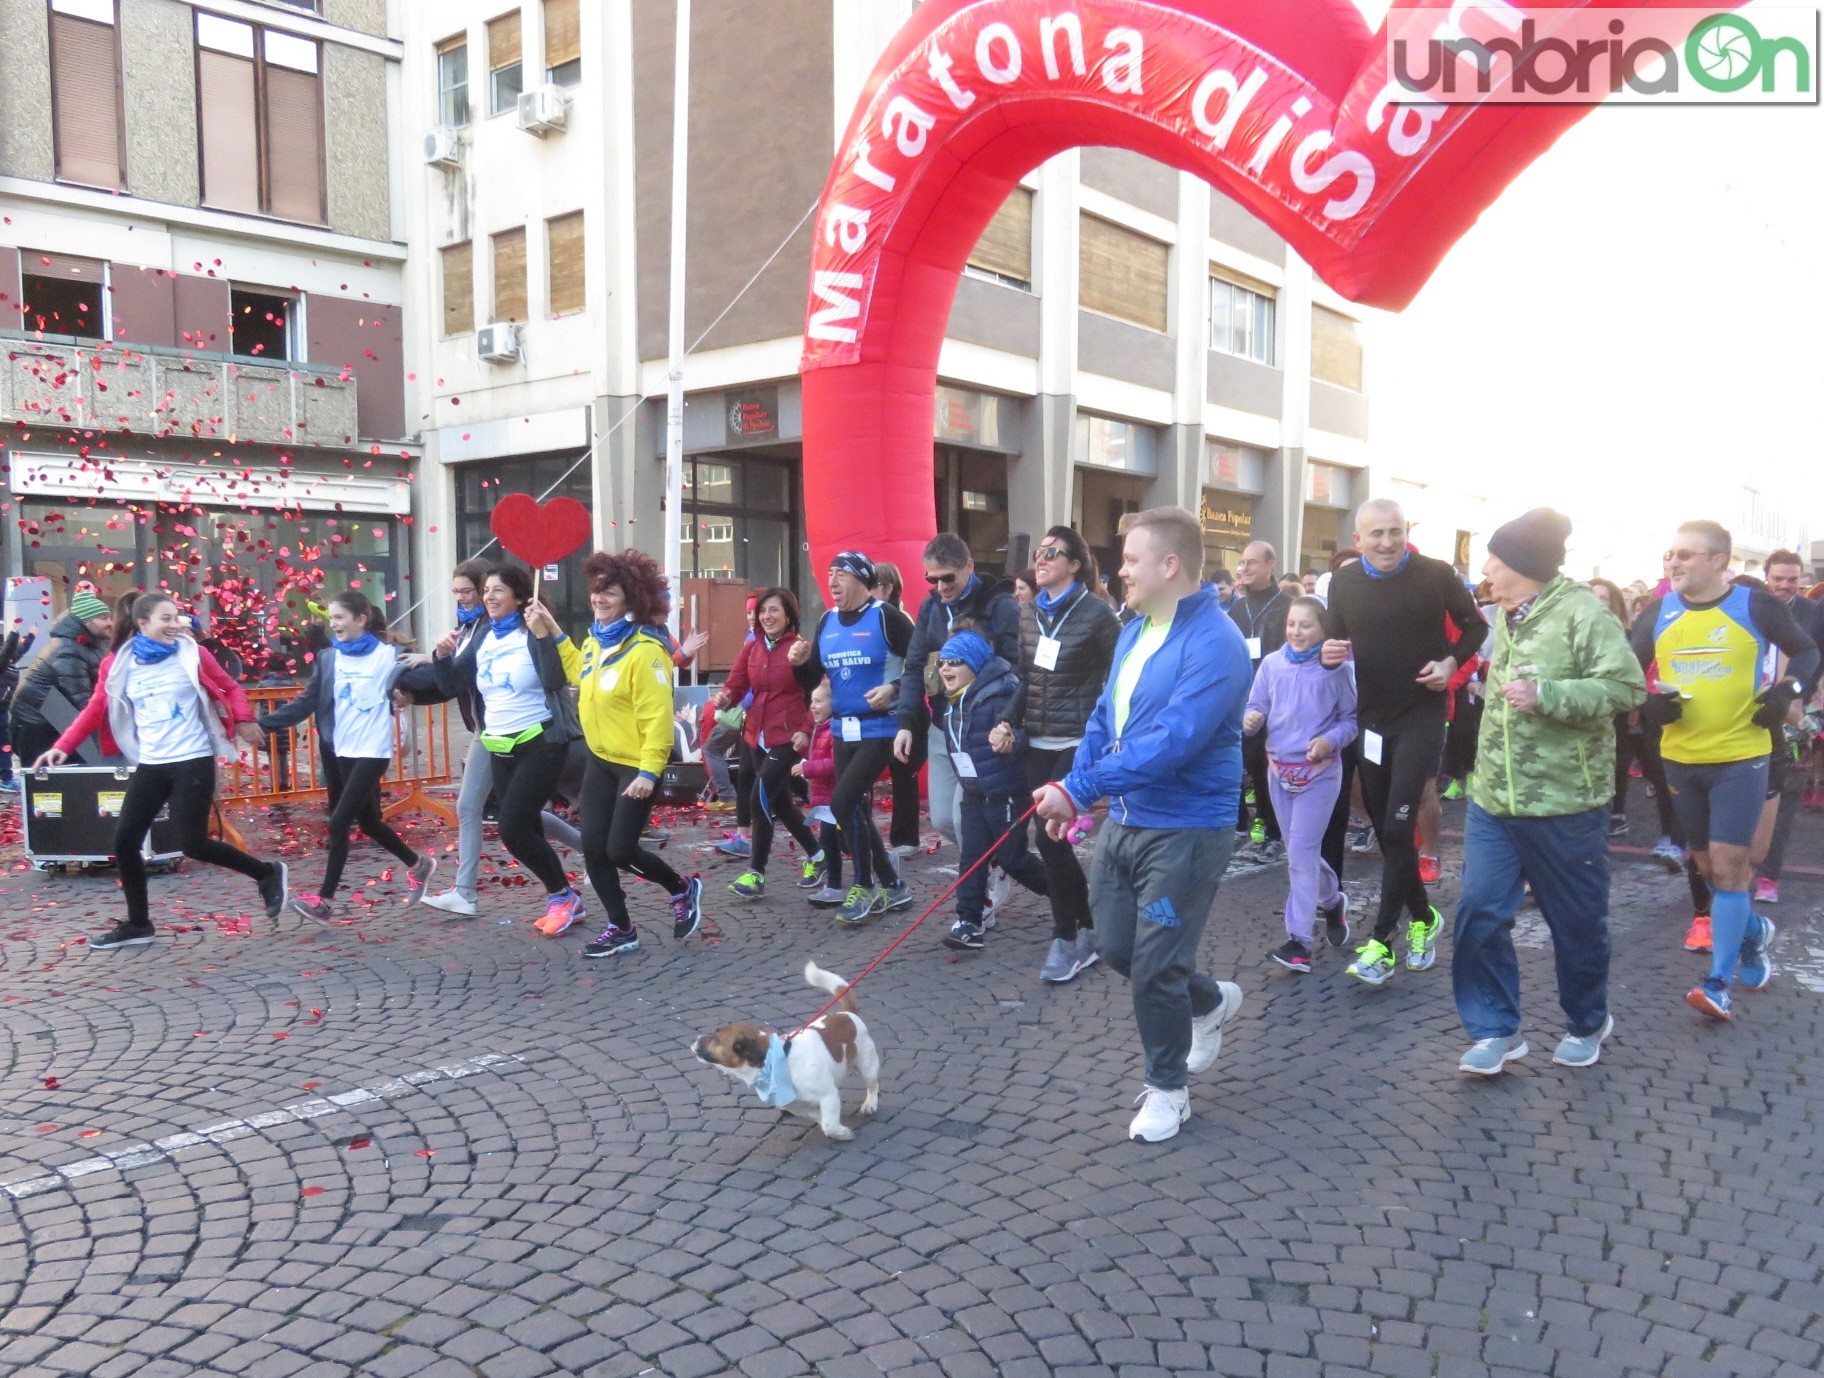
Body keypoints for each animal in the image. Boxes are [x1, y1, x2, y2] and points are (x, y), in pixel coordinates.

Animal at [685, 956, 879, 1146]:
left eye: (716, 1038)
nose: (693, 1039)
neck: (775, 1063)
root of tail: (848, 1014)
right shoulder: (797, 1105)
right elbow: (820, 1118)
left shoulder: (828, 1096)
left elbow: (829, 1124)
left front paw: (842, 1133)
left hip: (867, 1065)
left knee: (872, 1085)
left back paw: (870, 1103)